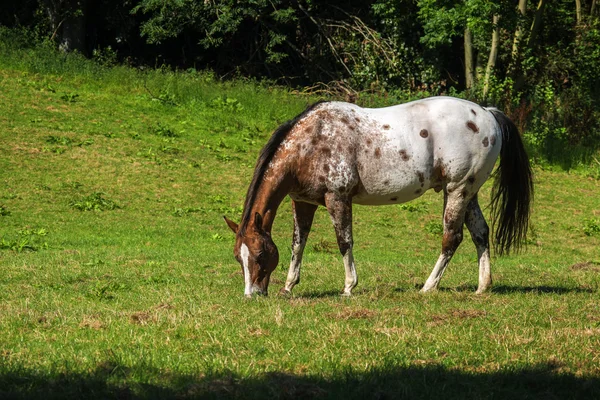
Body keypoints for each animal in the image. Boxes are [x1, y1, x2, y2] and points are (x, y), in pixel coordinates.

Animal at [225, 96, 536, 296]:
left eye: (260, 254)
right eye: (239, 257)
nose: (252, 294)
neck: (311, 143)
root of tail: (486, 113)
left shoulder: (338, 199)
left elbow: (344, 242)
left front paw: (349, 286)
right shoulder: (303, 203)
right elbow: (298, 244)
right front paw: (289, 286)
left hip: (457, 190)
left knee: (452, 238)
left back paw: (428, 286)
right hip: (469, 192)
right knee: (480, 233)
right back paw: (482, 287)